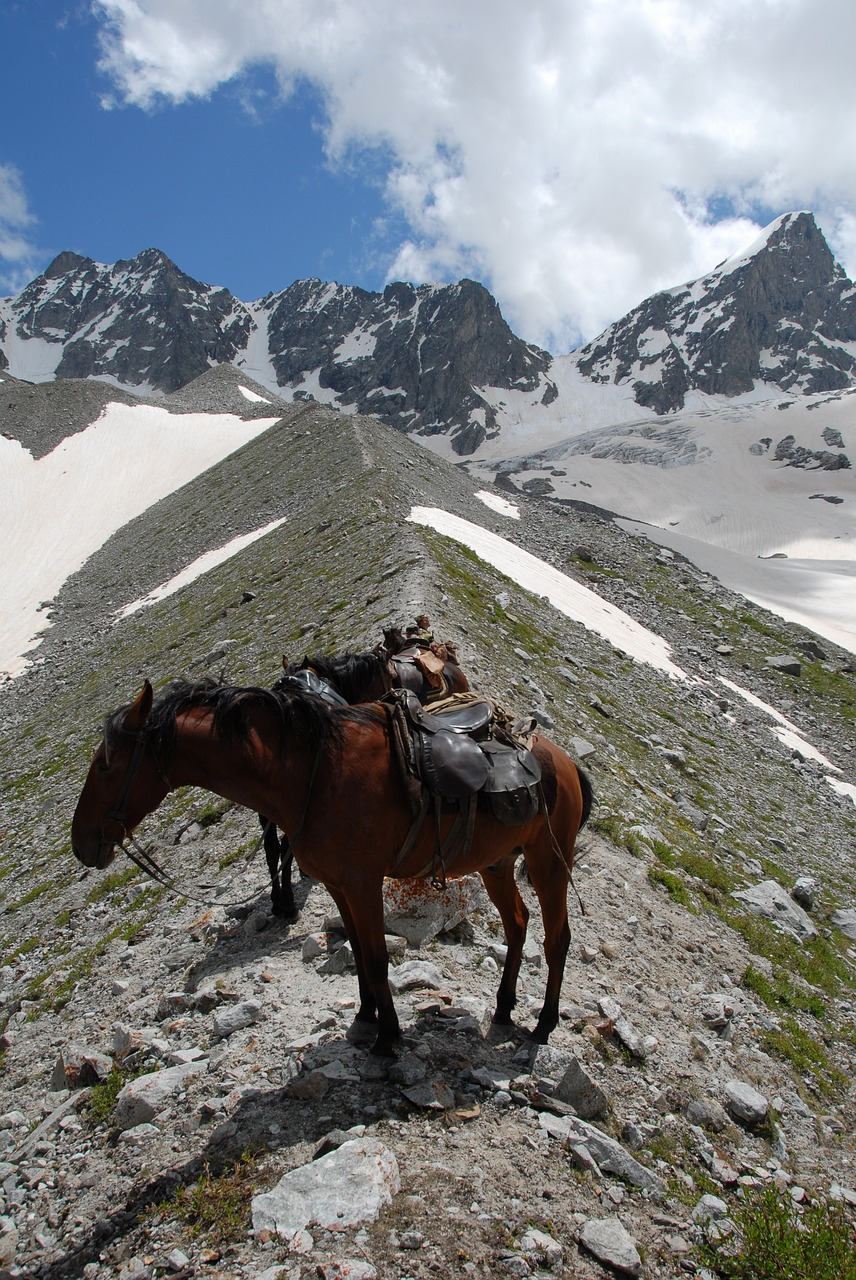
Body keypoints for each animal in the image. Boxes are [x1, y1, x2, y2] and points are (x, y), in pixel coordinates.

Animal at [70, 675, 591, 1054]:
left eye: (107, 764)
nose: (82, 844)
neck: (312, 775)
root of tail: (561, 760)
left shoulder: (362, 883)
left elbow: (378, 957)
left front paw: (387, 1039)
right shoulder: (338, 885)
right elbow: (358, 952)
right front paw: (364, 1019)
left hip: (548, 861)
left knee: (557, 938)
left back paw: (544, 1024)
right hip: (496, 864)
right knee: (518, 925)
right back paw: (503, 1010)